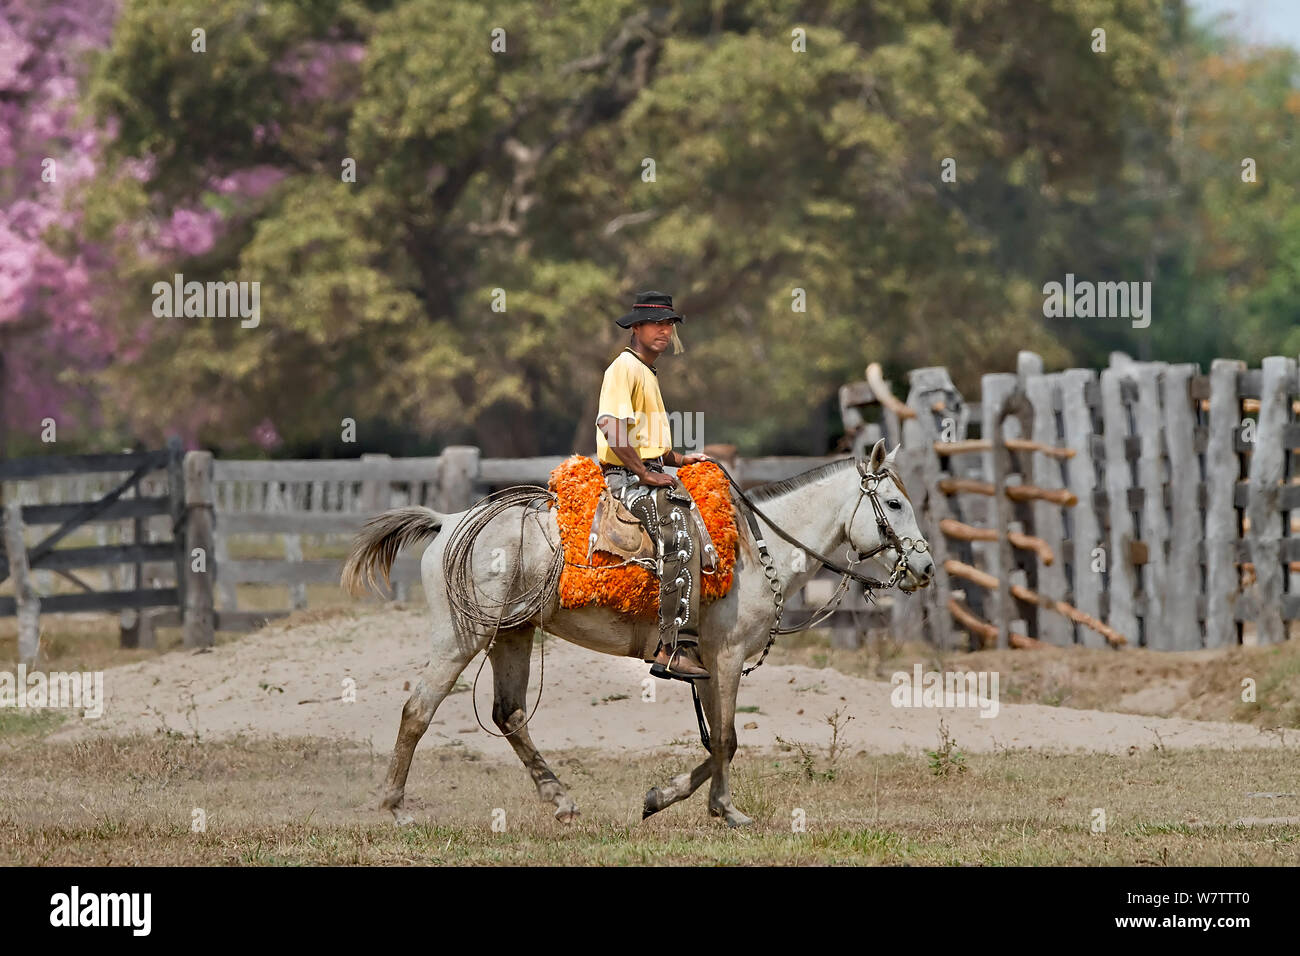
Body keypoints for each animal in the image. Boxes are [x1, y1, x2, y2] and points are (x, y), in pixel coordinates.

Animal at [343, 439, 935, 822]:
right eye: (895, 503)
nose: (926, 568)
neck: (752, 547)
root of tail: (449, 522)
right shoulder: (727, 657)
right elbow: (726, 738)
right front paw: (719, 809)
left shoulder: (703, 664)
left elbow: (718, 740)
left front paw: (672, 799)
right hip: (461, 638)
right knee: (418, 709)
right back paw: (392, 807)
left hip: (512, 633)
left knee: (509, 715)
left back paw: (561, 802)